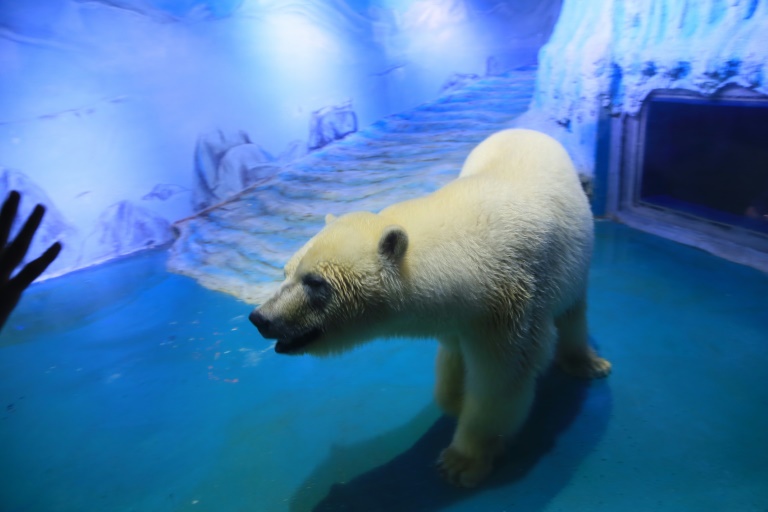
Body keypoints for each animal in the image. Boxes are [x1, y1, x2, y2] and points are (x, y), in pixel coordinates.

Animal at [249, 128, 611, 487]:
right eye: (285, 272)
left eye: (314, 282)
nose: (260, 318)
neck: (466, 256)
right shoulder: (462, 315)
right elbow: (454, 361)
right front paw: (456, 401)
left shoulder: (511, 304)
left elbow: (501, 379)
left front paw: (462, 461)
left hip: (574, 259)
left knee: (572, 312)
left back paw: (587, 363)